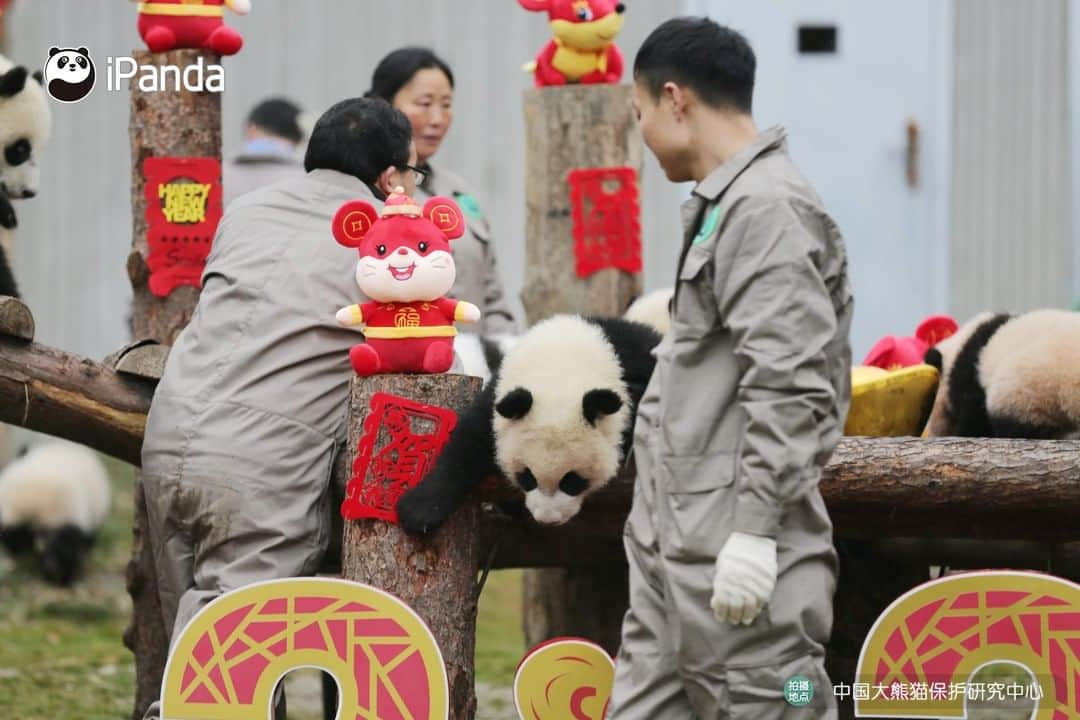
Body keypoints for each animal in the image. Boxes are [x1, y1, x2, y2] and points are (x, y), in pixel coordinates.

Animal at [401, 317, 660, 535]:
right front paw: (418, 511)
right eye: (527, 477)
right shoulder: (500, 399)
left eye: (572, 481)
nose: (547, 520)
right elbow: (470, 443)